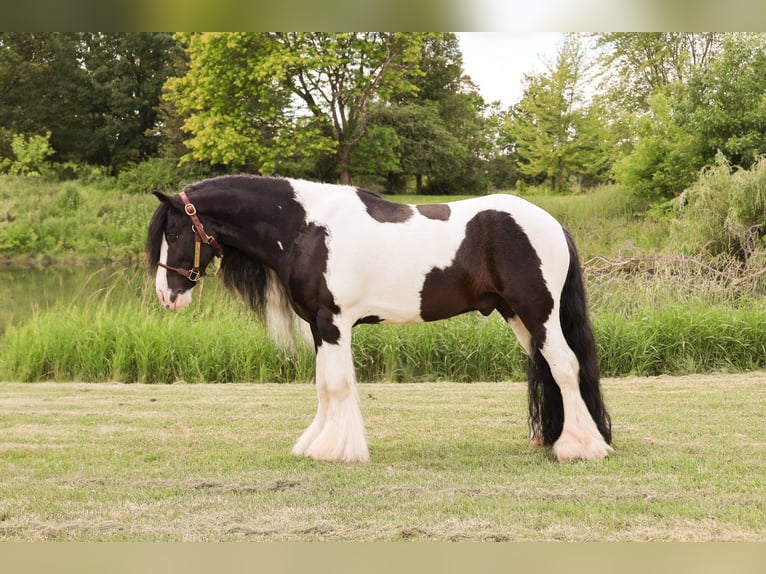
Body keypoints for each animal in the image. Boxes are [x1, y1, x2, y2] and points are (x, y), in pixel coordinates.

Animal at [147, 175, 612, 463]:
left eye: (174, 232)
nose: (166, 296)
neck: (307, 228)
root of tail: (552, 224)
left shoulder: (333, 322)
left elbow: (337, 383)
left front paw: (336, 450)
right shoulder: (319, 326)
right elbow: (322, 385)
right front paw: (315, 443)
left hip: (539, 312)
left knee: (565, 367)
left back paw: (581, 447)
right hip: (517, 315)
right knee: (549, 369)